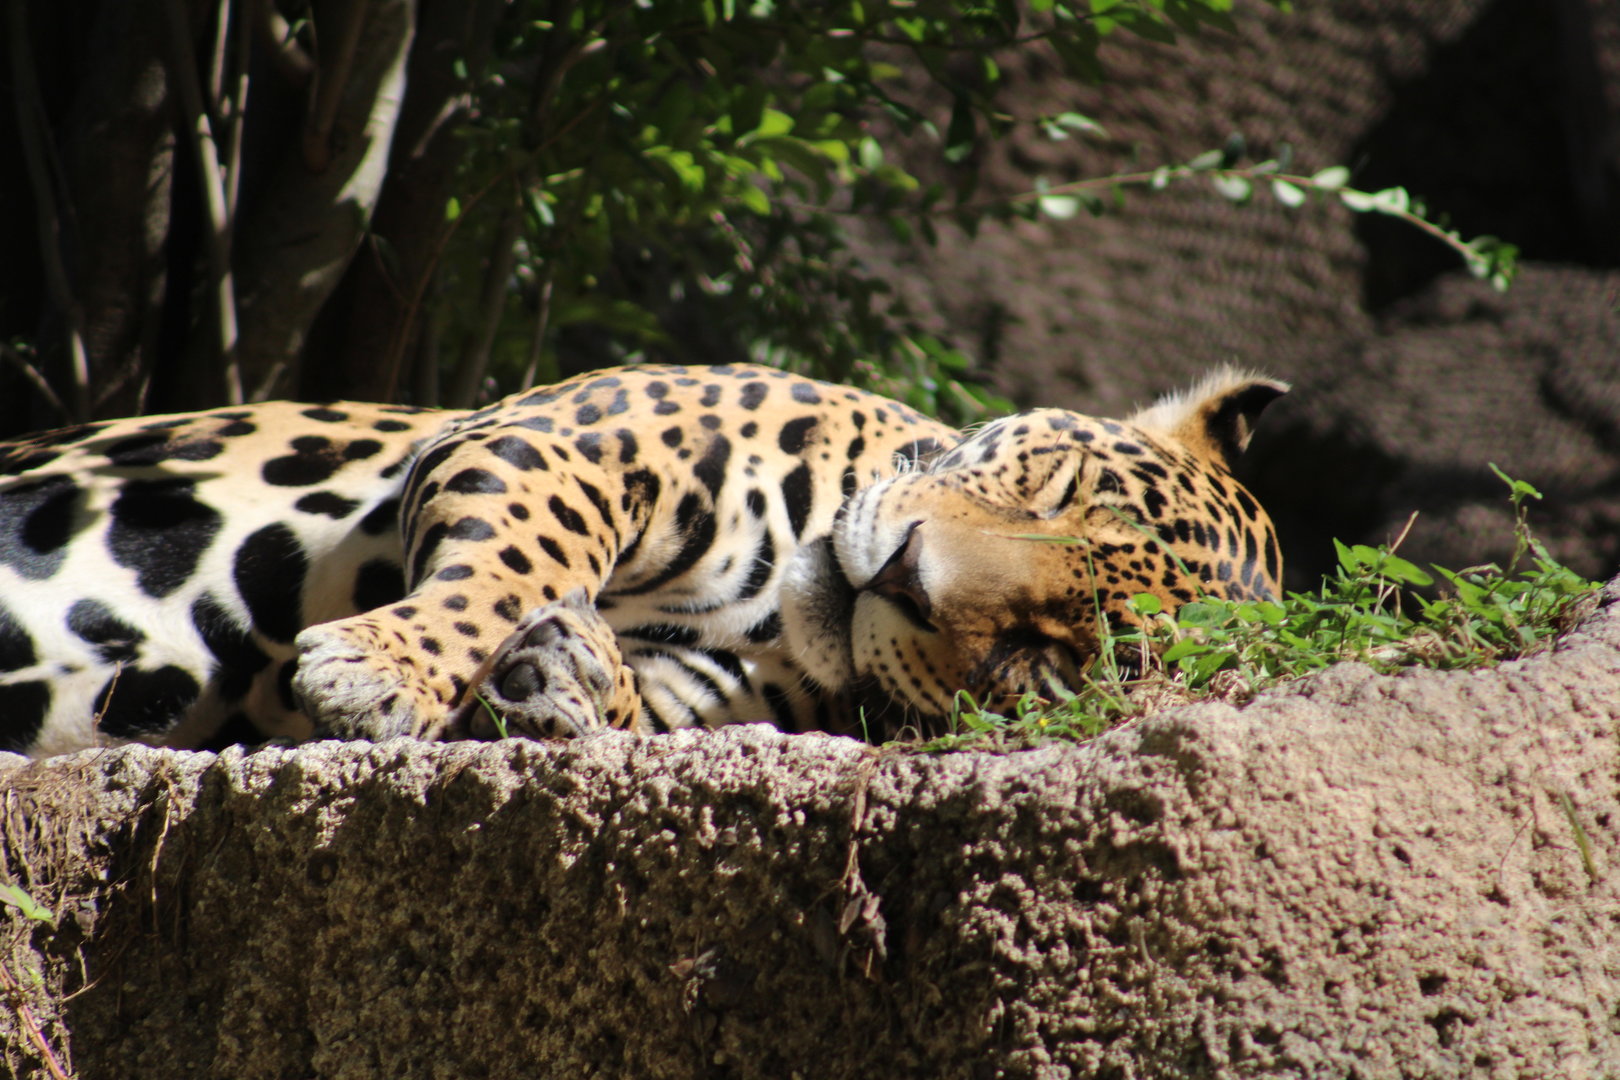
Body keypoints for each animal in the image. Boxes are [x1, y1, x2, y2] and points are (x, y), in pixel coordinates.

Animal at [0, 363, 1286, 757]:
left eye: (1048, 656)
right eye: (1053, 488)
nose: (905, 577)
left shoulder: (703, 698)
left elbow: (620, 700)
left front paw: (564, 681)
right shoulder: (563, 436)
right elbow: (515, 563)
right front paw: (383, 665)